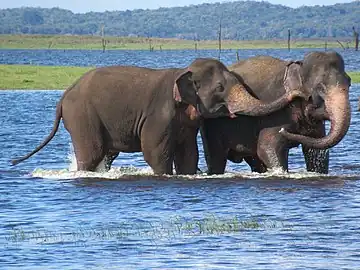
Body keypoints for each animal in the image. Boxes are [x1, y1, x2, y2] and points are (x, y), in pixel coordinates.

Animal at [10, 57, 304, 175]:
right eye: (220, 88)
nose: (298, 92)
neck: (183, 71)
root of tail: (63, 97)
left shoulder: (187, 123)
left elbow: (188, 154)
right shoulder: (159, 114)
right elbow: (154, 152)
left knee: (105, 154)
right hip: (82, 118)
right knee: (91, 154)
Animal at [201, 51, 352, 174]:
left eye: (349, 82)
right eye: (320, 88)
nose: (284, 132)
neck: (297, 67)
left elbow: (315, 151)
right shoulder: (275, 113)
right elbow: (267, 148)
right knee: (217, 158)